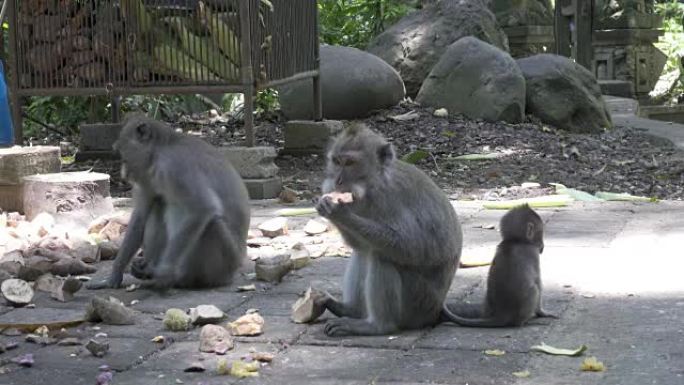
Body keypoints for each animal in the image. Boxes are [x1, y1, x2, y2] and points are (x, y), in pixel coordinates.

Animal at [87, 115, 250, 290]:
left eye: (123, 156)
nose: (124, 173)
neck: (159, 151)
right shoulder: (147, 178)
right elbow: (141, 215)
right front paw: (114, 275)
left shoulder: (174, 166)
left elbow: (203, 208)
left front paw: (164, 271)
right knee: (159, 203)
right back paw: (149, 269)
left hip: (225, 262)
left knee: (212, 223)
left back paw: (179, 278)